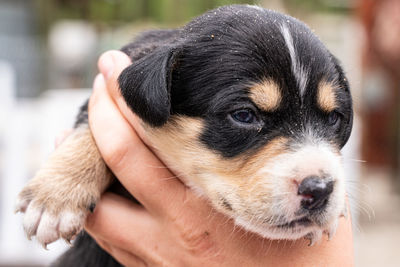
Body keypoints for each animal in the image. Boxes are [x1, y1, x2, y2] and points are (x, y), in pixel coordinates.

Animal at [15, 4, 354, 267]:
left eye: (333, 118)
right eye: (244, 115)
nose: (321, 189)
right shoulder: (106, 92)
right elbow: (90, 130)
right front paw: (55, 199)